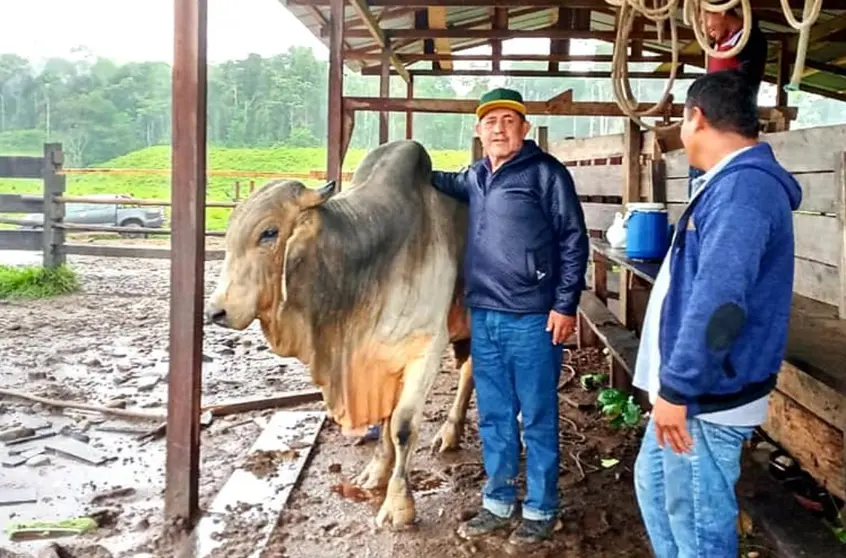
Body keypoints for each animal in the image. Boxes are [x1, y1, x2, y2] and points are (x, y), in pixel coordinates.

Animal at [206, 140, 476, 528]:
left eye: (269, 233)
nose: (216, 312)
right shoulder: (378, 361)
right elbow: (385, 422)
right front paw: (376, 473)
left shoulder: (426, 348)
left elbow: (403, 426)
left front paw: (398, 504)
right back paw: (451, 434)